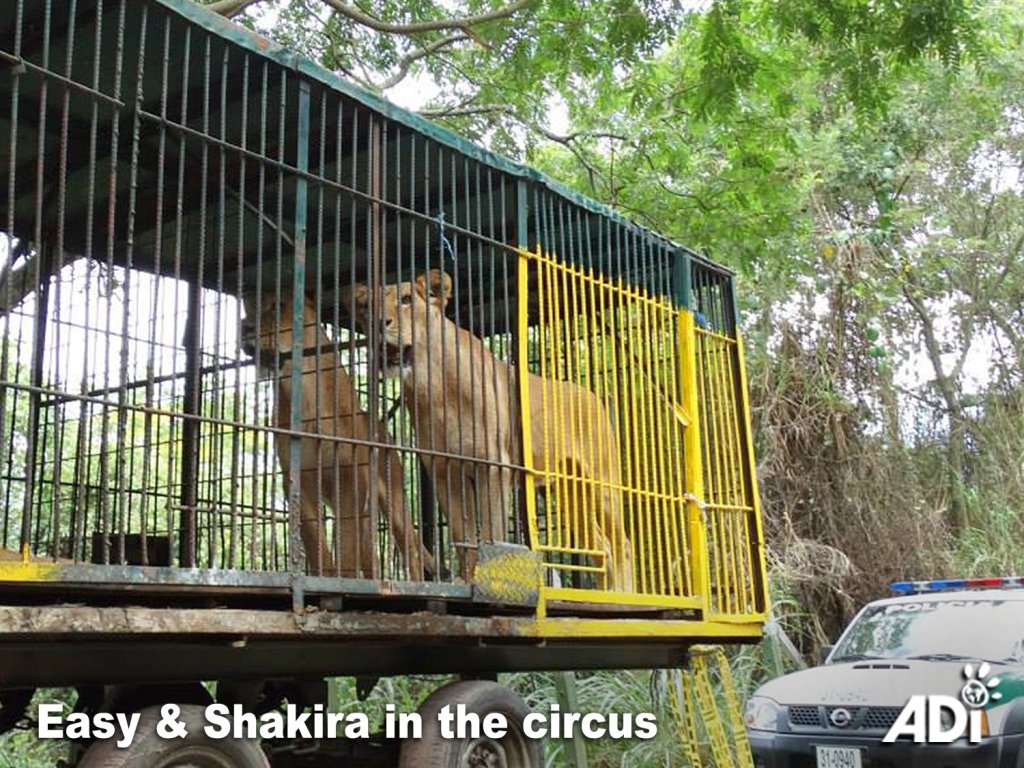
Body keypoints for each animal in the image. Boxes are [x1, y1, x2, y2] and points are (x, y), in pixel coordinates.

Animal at [240, 293, 433, 581]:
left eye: (280, 306)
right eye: (252, 308)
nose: (245, 327)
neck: (303, 388)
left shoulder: (351, 480)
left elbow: (347, 549)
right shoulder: (298, 481)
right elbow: (319, 548)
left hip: (395, 501)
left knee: (411, 551)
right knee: (372, 558)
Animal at [346, 271, 633, 591]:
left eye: (407, 299)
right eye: (366, 308)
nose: (376, 324)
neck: (431, 387)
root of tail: (595, 395)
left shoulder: (494, 466)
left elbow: (492, 531)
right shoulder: (444, 471)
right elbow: (463, 536)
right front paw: (467, 579)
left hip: (602, 486)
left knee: (622, 545)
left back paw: (625, 595)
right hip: (568, 492)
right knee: (602, 549)